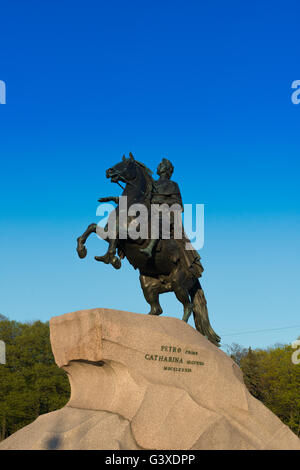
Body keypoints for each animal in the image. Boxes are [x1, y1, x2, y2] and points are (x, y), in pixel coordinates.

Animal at [75, 153, 220, 346]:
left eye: (127, 164)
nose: (109, 171)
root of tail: (194, 275)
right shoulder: (107, 233)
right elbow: (92, 227)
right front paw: (82, 250)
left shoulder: (134, 237)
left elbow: (117, 235)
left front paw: (111, 259)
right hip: (148, 285)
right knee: (157, 309)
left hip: (178, 284)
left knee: (188, 306)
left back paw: (181, 330)